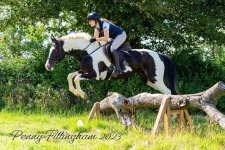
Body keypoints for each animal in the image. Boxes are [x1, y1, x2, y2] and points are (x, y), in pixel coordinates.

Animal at [45, 32, 178, 99]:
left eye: (54, 50)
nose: (47, 66)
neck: (87, 52)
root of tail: (159, 54)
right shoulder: (85, 71)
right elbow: (70, 76)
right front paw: (76, 92)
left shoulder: (94, 75)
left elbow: (76, 78)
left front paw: (83, 95)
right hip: (148, 80)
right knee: (165, 92)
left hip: (155, 78)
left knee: (168, 92)